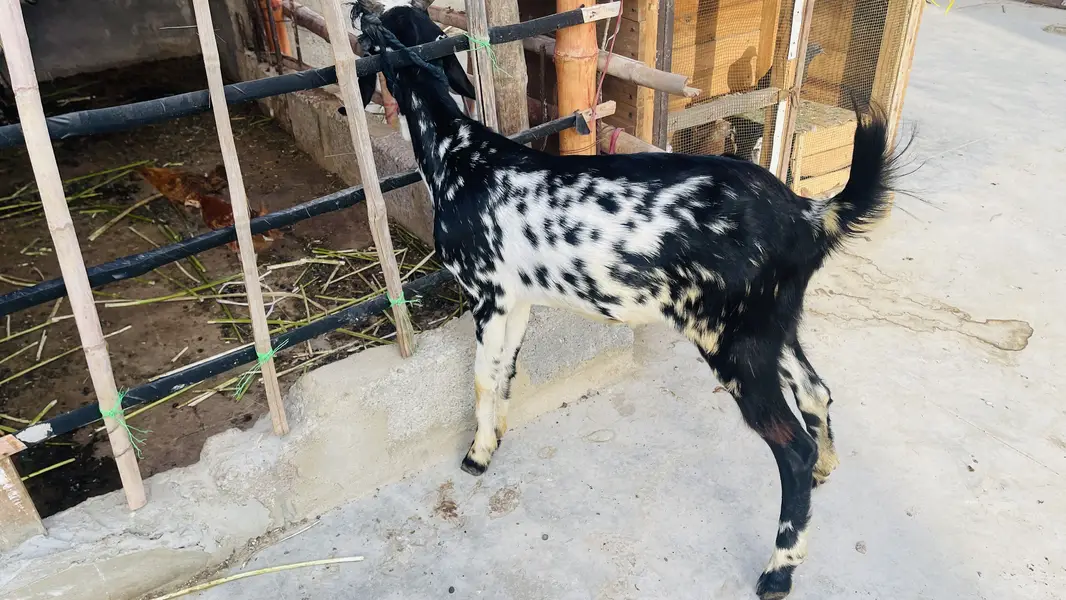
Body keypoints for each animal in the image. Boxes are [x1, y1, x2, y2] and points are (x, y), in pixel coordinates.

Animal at [349, 3, 900, 598]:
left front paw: (475, 457)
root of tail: (807, 214)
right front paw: (493, 442)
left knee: (792, 450)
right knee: (817, 391)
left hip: (732, 342)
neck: (460, 155)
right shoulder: (517, 300)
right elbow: (504, 371)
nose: (357, 10)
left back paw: (778, 570)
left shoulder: (487, 292)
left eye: (377, 27)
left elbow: (481, 377)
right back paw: (825, 469)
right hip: (772, 324)